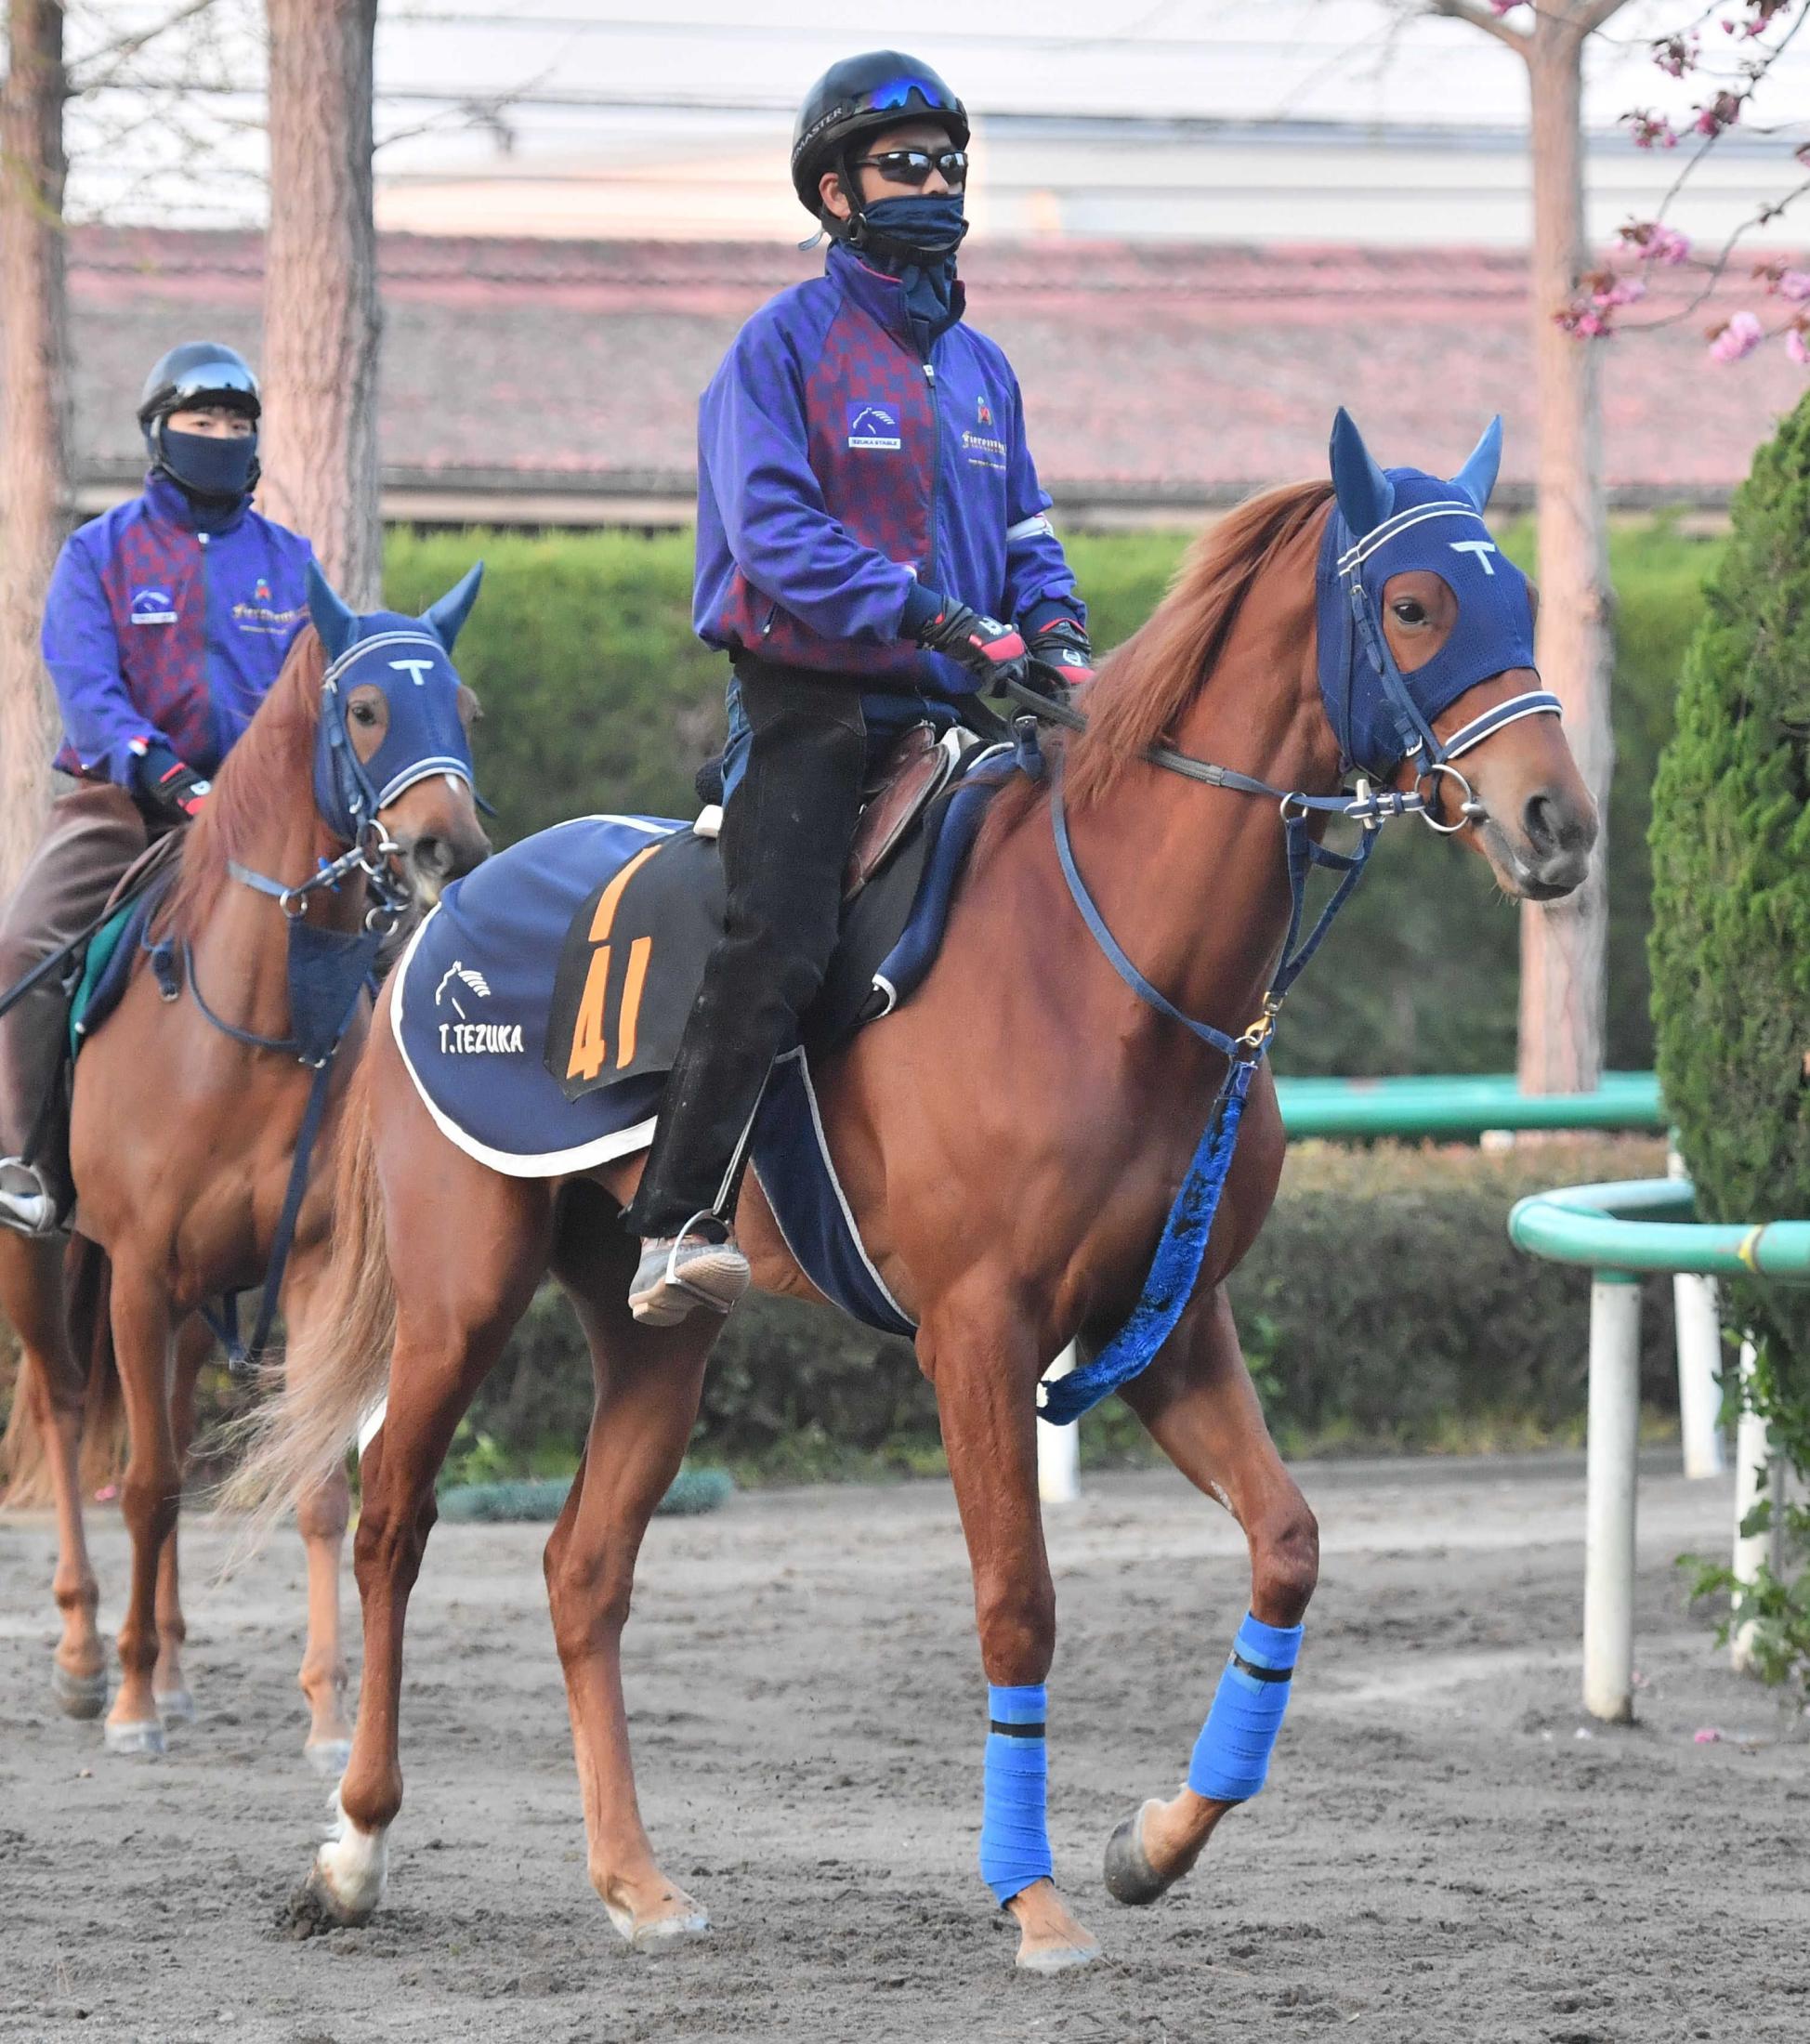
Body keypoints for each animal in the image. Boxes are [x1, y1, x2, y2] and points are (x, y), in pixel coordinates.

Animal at [0, 568, 491, 1765]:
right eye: (366, 708)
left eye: (461, 704)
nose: (447, 846)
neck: (251, 1024)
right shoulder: (133, 1271)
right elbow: (146, 1486)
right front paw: (128, 1706)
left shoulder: (304, 1274)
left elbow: (312, 1490)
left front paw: (325, 1716)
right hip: (47, 1264)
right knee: (66, 1410)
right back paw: (87, 1655)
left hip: (193, 1303)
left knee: (164, 1422)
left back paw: (172, 1665)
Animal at [232, 423, 1587, 1970]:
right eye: (1416, 604)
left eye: (1520, 595)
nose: (1558, 818)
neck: (1105, 956)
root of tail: (436, 917)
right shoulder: (978, 1333)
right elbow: (1018, 1603)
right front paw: (1034, 1894)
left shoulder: (1169, 1327)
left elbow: (1288, 1549)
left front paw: (1153, 1844)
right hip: (461, 1294)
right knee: (390, 1518)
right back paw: (353, 1847)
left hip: (655, 1328)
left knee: (583, 1567)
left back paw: (634, 1880)